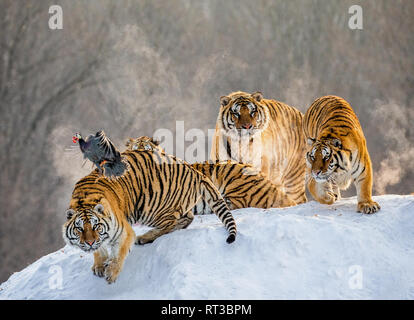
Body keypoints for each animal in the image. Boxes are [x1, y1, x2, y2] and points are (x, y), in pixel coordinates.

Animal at [61, 146, 236, 284]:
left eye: (96, 226)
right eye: (79, 229)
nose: (90, 242)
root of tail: (197, 172)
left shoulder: (123, 231)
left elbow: (118, 254)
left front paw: (111, 273)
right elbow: (99, 249)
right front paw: (98, 265)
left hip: (151, 208)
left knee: (171, 224)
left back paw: (144, 238)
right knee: (187, 219)